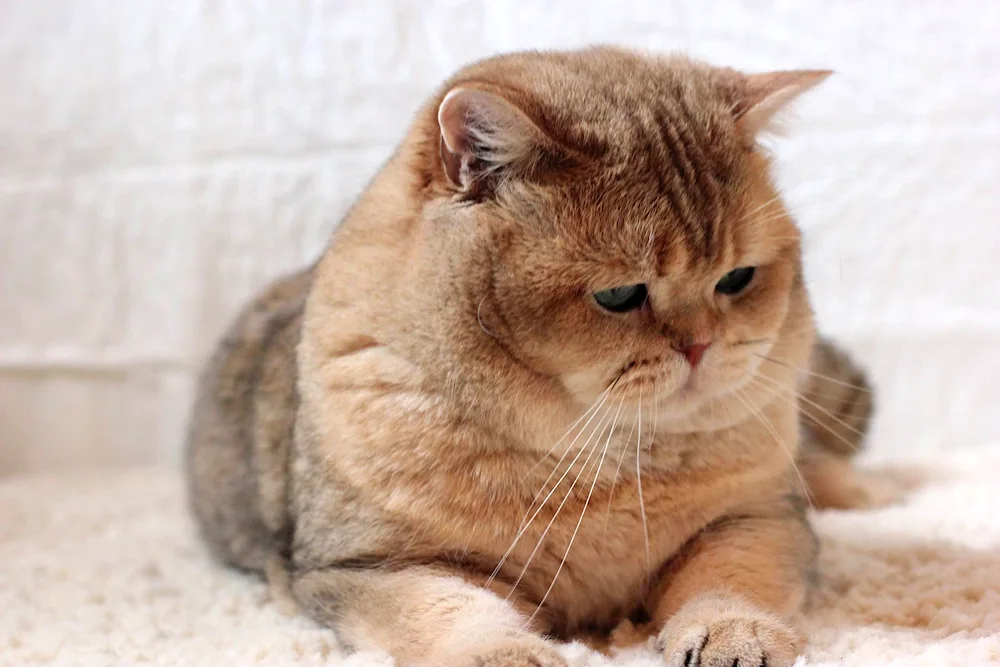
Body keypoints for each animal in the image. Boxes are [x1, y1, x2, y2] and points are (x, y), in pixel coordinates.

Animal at [189, 48, 884, 667]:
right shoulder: (370, 567)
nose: (698, 345)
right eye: (618, 295)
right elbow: (448, 611)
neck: (604, 456)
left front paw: (735, 632)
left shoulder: (759, 518)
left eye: (737, 279)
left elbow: (730, 579)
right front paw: (503, 653)